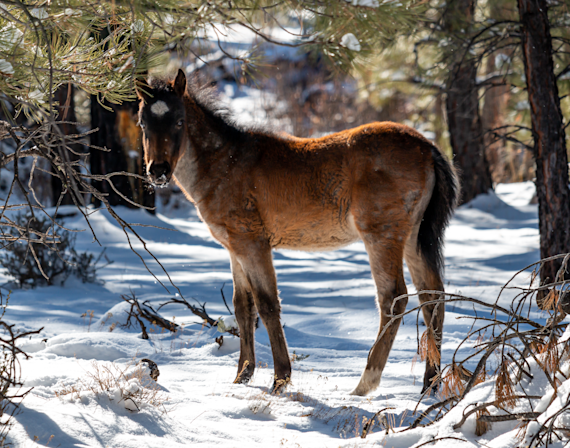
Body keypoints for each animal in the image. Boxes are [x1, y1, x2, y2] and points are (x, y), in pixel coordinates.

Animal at [134, 70, 458, 396]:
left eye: (179, 121)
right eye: (143, 123)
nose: (158, 171)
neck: (224, 164)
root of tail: (429, 148)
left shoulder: (253, 244)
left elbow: (267, 305)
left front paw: (280, 379)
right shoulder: (234, 247)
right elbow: (243, 307)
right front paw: (242, 376)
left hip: (382, 235)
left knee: (393, 299)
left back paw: (365, 383)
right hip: (414, 237)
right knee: (432, 296)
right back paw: (430, 383)